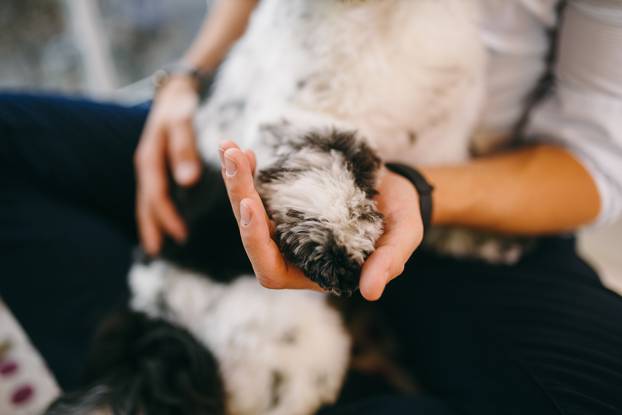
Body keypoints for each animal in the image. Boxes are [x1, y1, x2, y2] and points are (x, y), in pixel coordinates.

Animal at [47, 0, 532, 414]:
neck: (378, 14)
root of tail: (154, 330)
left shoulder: (444, 138)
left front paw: (487, 234)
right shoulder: (287, 121)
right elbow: (323, 156)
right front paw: (337, 244)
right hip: (299, 347)